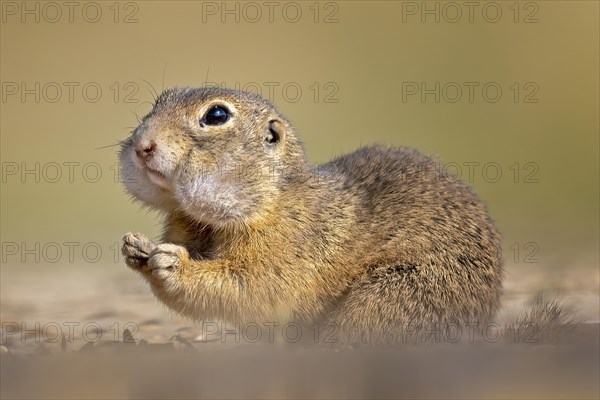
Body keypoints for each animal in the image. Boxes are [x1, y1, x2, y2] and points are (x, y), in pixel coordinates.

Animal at [119, 86, 504, 344]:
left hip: (389, 298)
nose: (141, 145)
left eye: (216, 115)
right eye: (158, 102)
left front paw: (172, 264)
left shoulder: (287, 248)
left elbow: (252, 288)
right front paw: (135, 249)